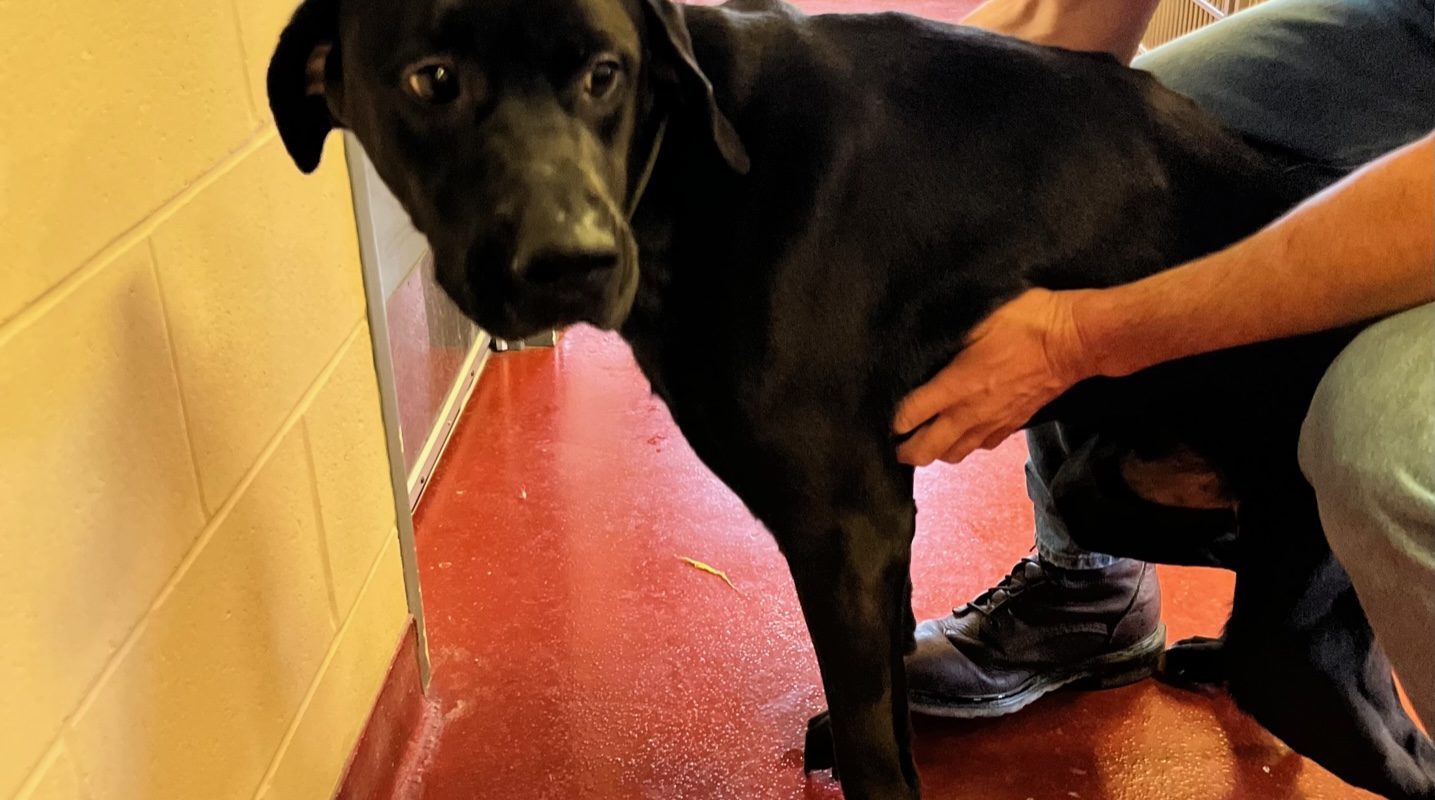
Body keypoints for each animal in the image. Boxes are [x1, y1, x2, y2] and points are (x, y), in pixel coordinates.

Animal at [267, 1, 1435, 797]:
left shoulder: (844, 523)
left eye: (605, 73)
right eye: (430, 80)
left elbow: (875, 739)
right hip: (1128, 482)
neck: (697, 163)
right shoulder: (875, 529)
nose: (570, 263)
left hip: (1295, 640)